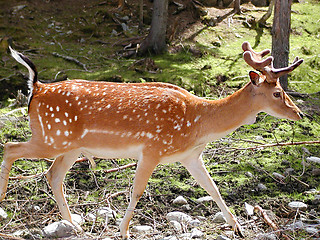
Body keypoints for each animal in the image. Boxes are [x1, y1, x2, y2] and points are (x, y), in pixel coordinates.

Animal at [0, 42, 302, 239]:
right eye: (277, 93)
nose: (298, 112)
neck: (198, 123)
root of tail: (36, 88)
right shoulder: (153, 148)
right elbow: (136, 191)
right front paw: (123, 231)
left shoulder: (190, 156)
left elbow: (213, 188)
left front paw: (237, 226)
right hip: (50, 137)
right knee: (10, 147)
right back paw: (4, 201)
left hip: (69, 146)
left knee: (53, 175)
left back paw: (74, 225)